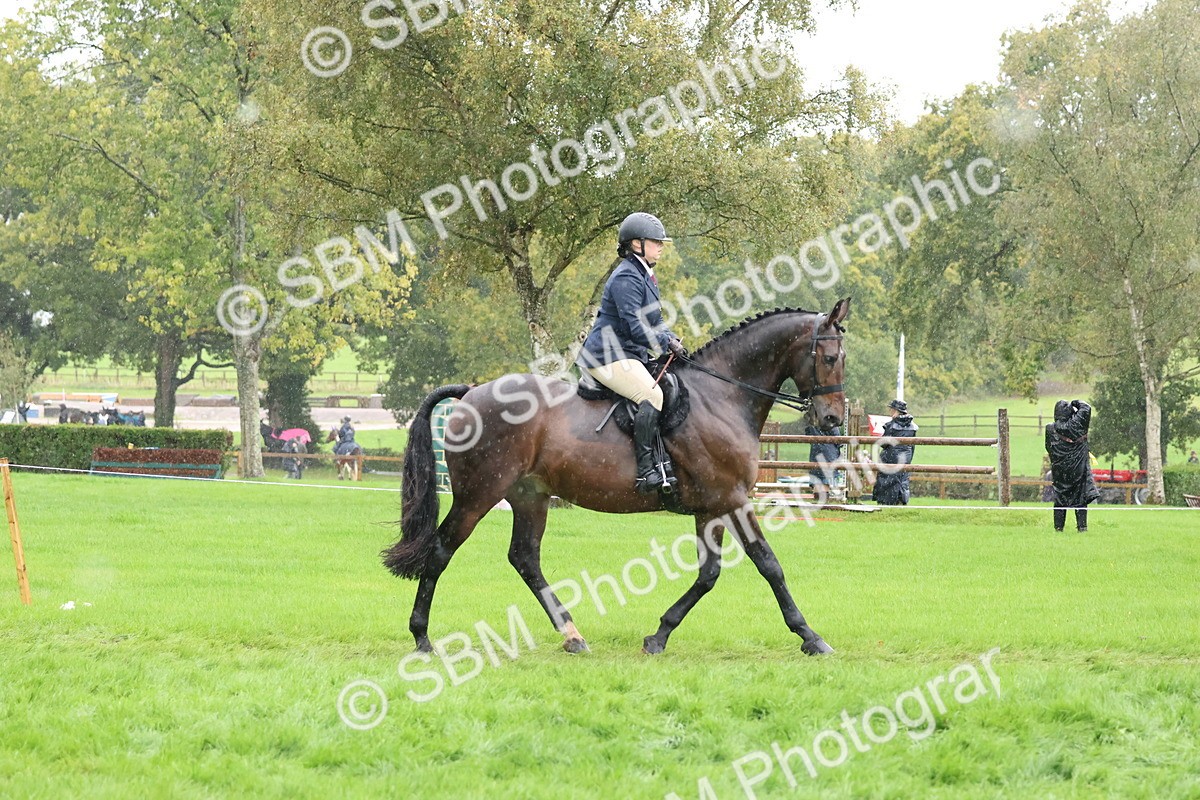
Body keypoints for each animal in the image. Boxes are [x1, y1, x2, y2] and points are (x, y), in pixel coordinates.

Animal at [382, 299, 850, 657]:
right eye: (829, 358)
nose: (831, 420)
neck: (722, 397)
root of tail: (471, 392)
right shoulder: (732, 499)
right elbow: (768, 564)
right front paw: (811, 637)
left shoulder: (712, 507)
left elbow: (708, 574)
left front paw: (659, 635)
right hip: (477, 495)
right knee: (441, 551)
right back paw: (422, 638)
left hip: (530, 496)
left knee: (525, 558)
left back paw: (572, 636)